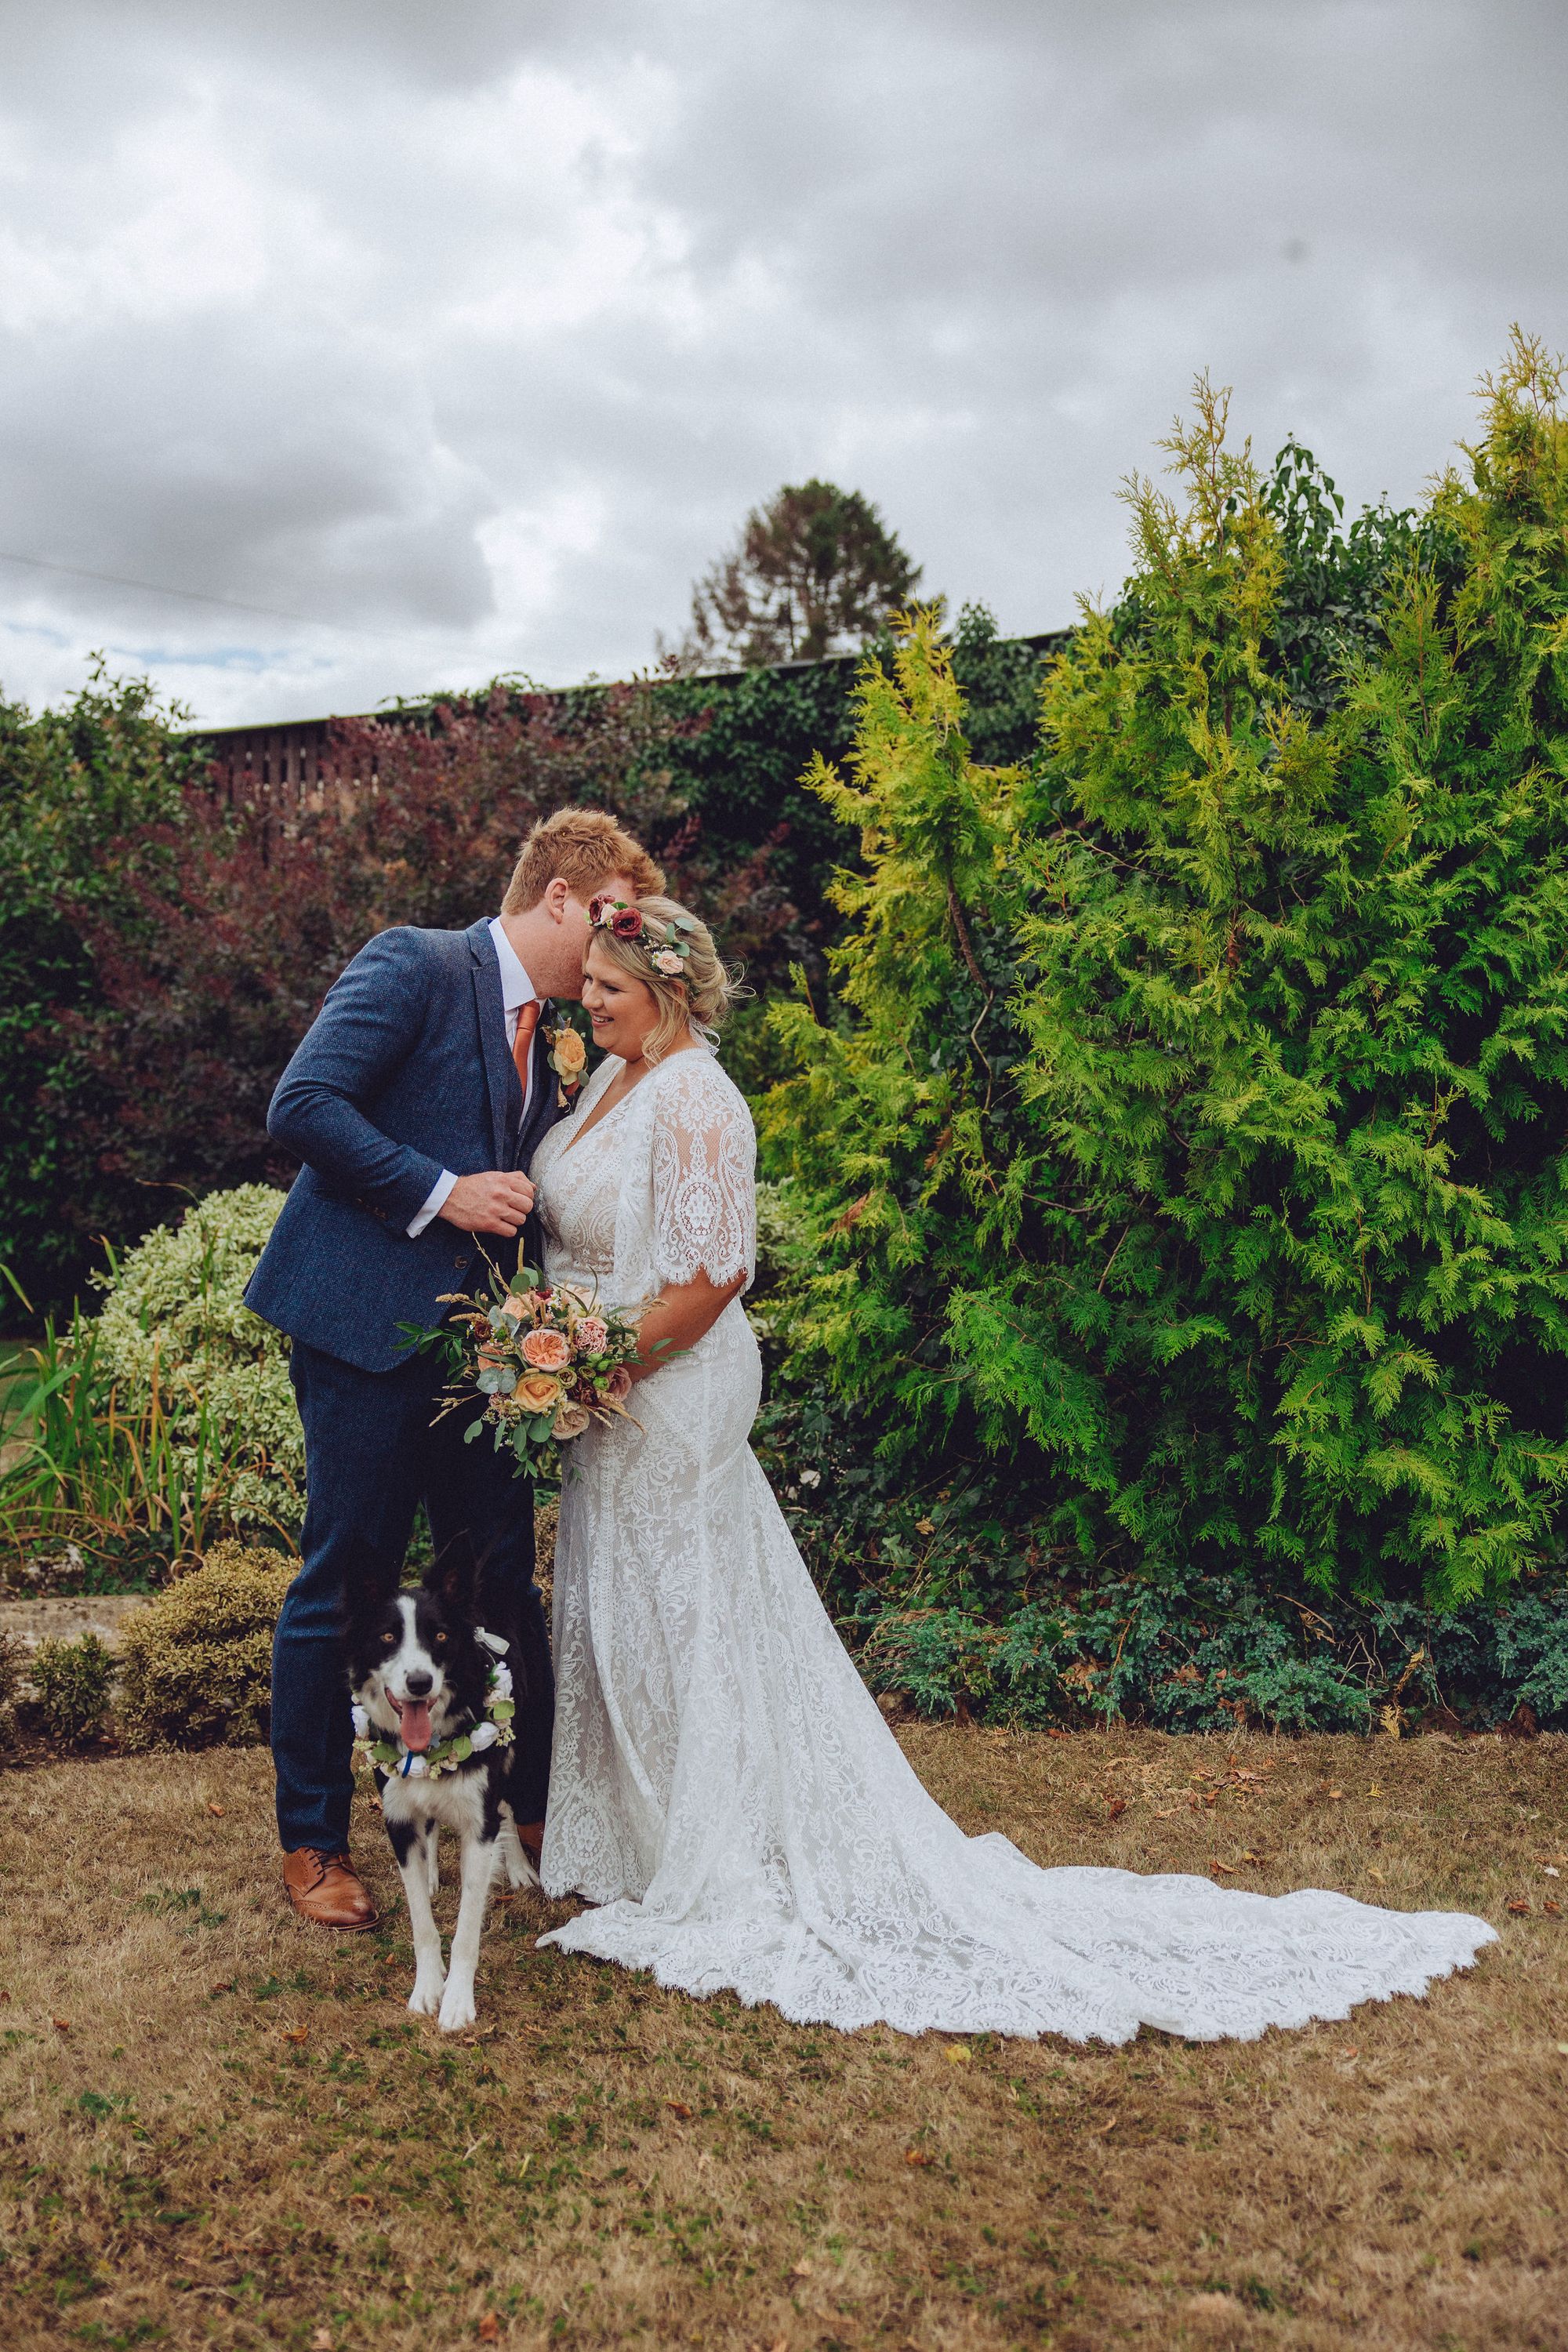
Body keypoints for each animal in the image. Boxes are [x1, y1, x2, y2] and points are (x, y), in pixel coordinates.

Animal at [343, 1552, 540, 2032]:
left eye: (440, 1636)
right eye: (388, 1636)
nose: (419, 1683)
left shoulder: (478, 1820)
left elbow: (467, 1926)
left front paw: (456, 2003)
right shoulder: (397, 1817)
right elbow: (422, 1924)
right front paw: (427, 1989)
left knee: (508, 1806)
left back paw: (519, 1866)